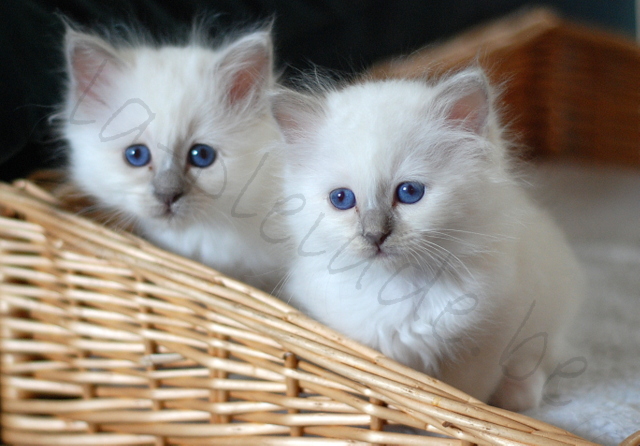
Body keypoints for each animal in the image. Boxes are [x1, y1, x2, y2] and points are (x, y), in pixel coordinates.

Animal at [272, 69, 584, 412]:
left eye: (410, 192)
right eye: (341, 199)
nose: (375, 235)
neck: (398, 287)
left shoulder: (487, 341)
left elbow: (462, 396)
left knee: (540, 359)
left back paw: (517, 394)